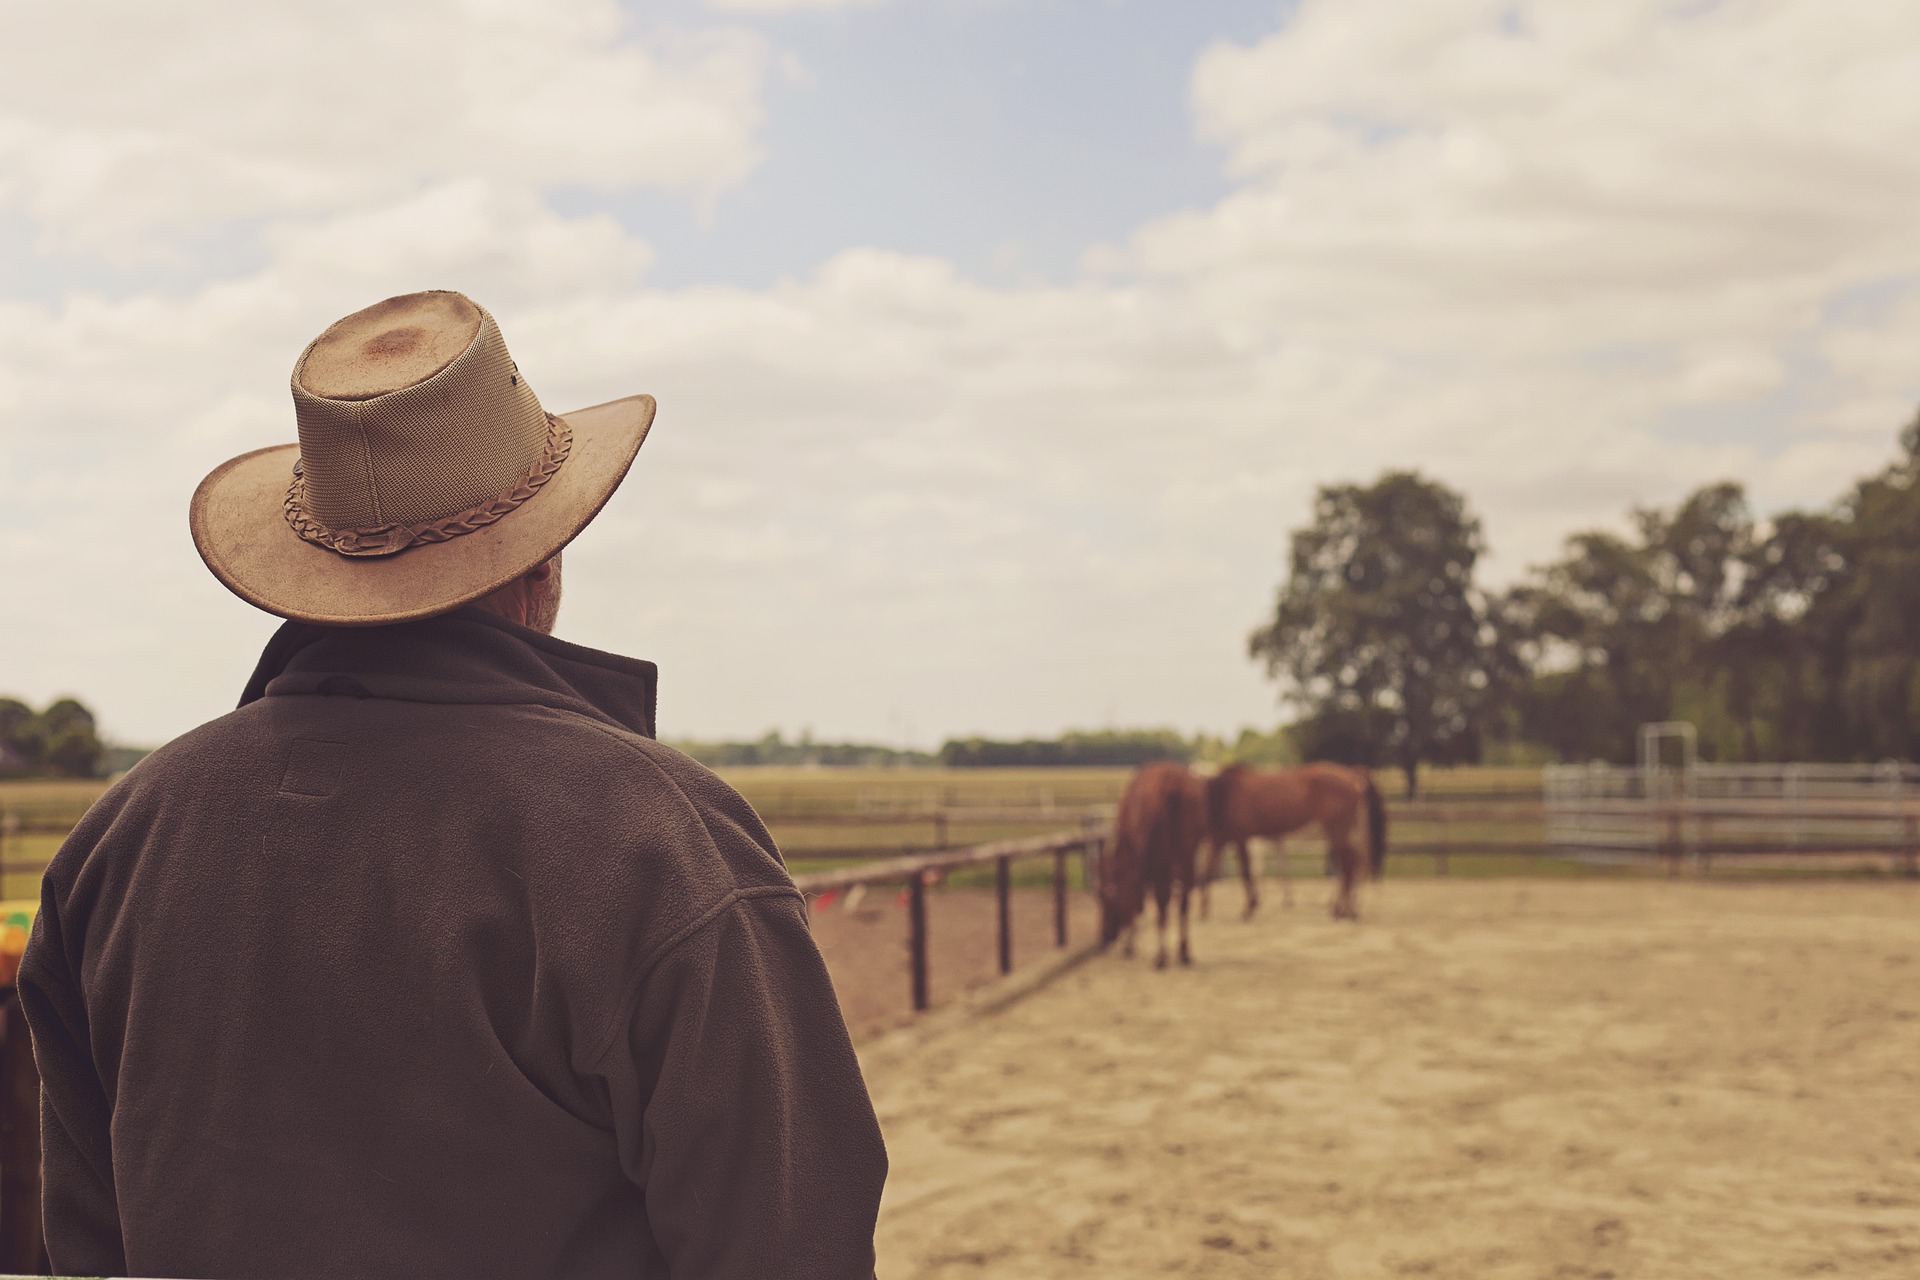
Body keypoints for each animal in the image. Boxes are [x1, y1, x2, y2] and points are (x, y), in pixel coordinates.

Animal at [1105, 767, 1205, 967]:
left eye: (1113, 900)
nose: (1112, 934)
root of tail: (1171, 784)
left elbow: (1142, 900)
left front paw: (1131, 944)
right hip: (1186, 855)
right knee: (1183, 900)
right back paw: (1183, 952)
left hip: (1161, 860)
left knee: (1162, 901)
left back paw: (1161, 956)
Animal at [1198, 759, 1382, 921]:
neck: (1225, 793)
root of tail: (1352, 778)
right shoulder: (1220, 839)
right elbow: (1208, 870)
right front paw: (1204, 910)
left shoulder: (1240, 838)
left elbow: (1246, 872)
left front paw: (1249, 908)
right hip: (1341, 834)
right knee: (1352, 866)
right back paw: (1344, 910)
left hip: (1338, 833)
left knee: (1349, 866)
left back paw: (1341, 911)